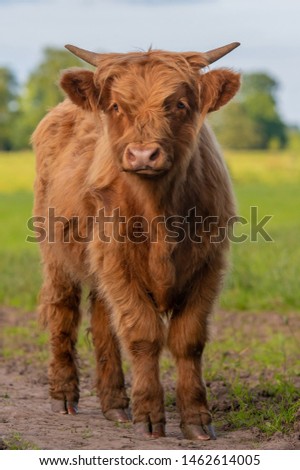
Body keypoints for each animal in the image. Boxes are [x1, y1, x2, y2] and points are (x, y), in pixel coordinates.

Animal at [31, 41, 240, 440]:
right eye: (116, 106)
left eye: (179, 104)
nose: (143, 154)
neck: (159, 212)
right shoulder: (118, 262)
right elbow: (143, 335)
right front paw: (149, 416)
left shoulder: (208, 264)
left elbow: (188, 339)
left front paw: (197, 419)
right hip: (56, 253)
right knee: (63, 310)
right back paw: (63, 396)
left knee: (102, 320)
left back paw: (114, 404)